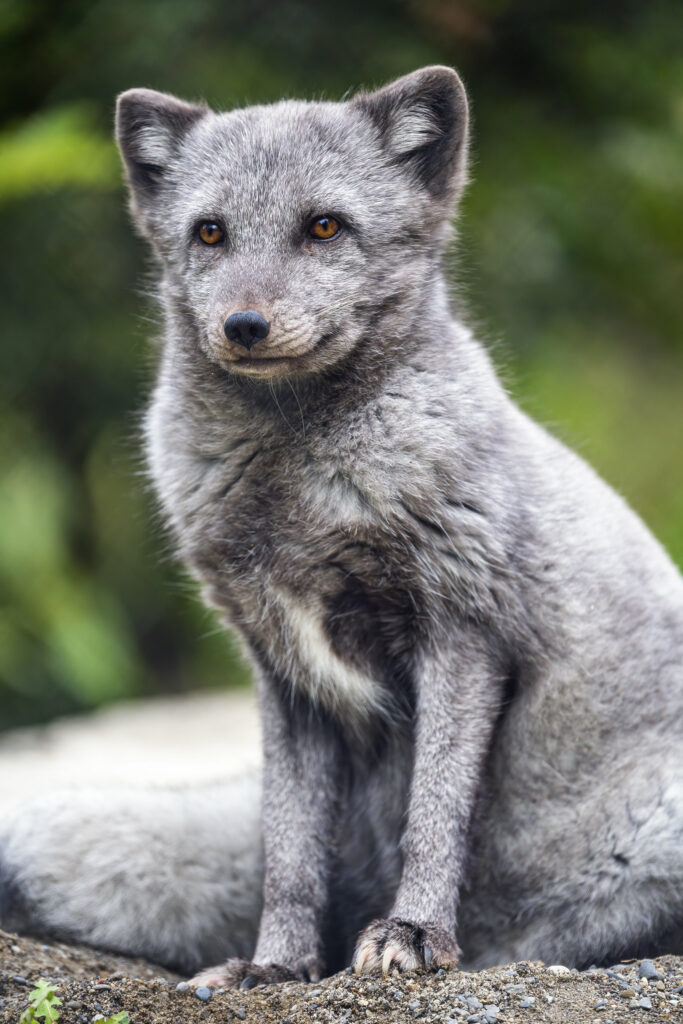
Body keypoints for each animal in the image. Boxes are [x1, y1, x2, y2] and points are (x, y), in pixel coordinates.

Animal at [1, 65, 682, 985]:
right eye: (210, 232)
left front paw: (413, 935)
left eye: (323, 226)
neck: (302, 492)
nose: (243, 326)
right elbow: (290, 849)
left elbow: (433, 817)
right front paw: (279, 967)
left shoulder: (464, 636)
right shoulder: (284, 673)